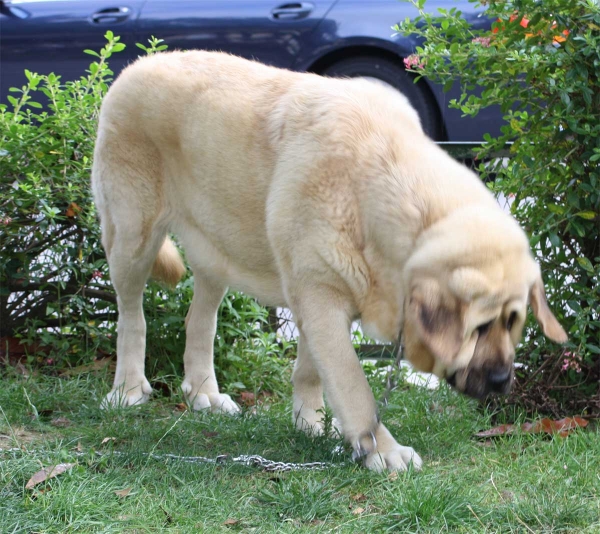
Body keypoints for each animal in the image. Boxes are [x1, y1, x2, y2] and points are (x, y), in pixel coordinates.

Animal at [92, 51, 568, 474]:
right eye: (479, 327)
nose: (503, 382)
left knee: (200, 319)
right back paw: (128, 388)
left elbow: (311, 369)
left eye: (513, 321)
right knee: (131, 316)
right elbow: (353, 384)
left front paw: (312, 423)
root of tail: (138, 64)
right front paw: (381, 449)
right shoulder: (319, 296)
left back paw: (203, 393)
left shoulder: (318, 295)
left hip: (215, 251)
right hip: (132, 238)